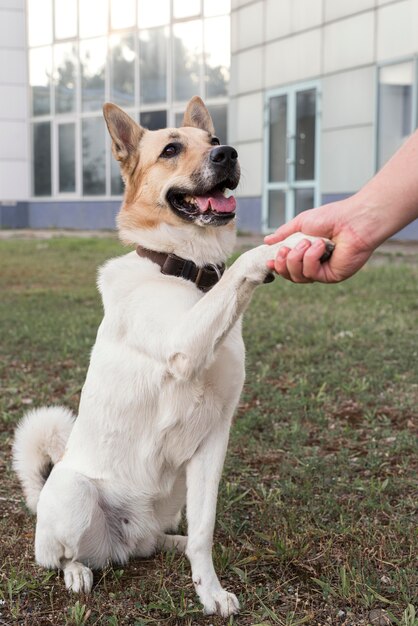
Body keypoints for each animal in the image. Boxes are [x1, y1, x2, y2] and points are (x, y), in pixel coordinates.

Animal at [12, 96, 334, 616]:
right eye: (170, 149)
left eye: (214, 139)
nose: (228, 153)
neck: (189, 272)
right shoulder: (186, 342)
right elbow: (242, 264)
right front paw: (284, 245)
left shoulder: (212, 442)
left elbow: (204, 530)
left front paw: (209, 590)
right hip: (75, 496)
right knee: (62, 555)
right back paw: (77, 572)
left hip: (171, 499)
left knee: (159, 540)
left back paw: (172, 546)